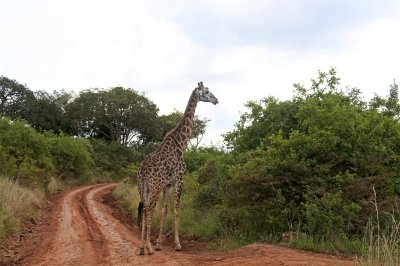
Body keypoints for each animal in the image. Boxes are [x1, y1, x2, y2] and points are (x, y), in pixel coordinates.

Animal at [137, 81, 219, 256]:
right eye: (207, 92)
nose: (216, 100)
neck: (181, 143)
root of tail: (143, 171)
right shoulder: (179, 180)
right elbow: (176, 210)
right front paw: (177, 244)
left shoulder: (167, 184)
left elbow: (164, 210)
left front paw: (159, 244)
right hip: (154, 186)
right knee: (149, 209)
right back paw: (148, 247)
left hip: (142, 187)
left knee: (145, 208)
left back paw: (141, 247)